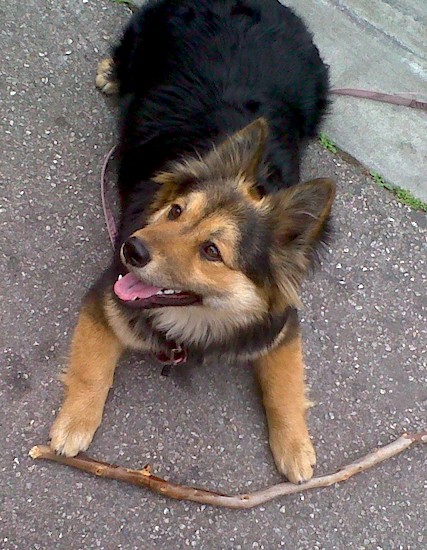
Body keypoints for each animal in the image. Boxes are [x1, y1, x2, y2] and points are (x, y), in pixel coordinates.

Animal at [50, 0, 336, 486]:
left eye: (212, 251)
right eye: (177, 211)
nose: (131, 250)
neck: (197, 318)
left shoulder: (279, 327)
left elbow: (285, 384)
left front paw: (295, 447)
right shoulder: (106, 300)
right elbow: (91, 370)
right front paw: (74, 423)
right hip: (143, 38)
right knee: (124, 51)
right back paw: (110, 72)